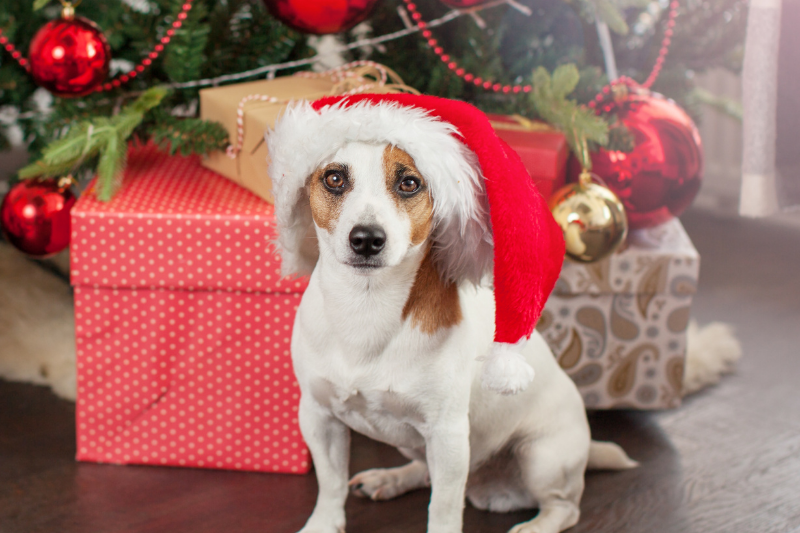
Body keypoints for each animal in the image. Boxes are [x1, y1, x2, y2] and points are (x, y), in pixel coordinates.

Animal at [266, 95, 636, 532]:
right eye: (335, 178)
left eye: (410, 183)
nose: (367, 239)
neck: (366, 306)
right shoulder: (319, 417)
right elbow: (330, 484)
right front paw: (323, 523)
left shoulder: (447, 435)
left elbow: (442, 508)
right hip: (418, 446)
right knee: (423, 472)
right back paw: (390, 478)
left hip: (541, 457)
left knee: (564, 507)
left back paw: (532, 526)